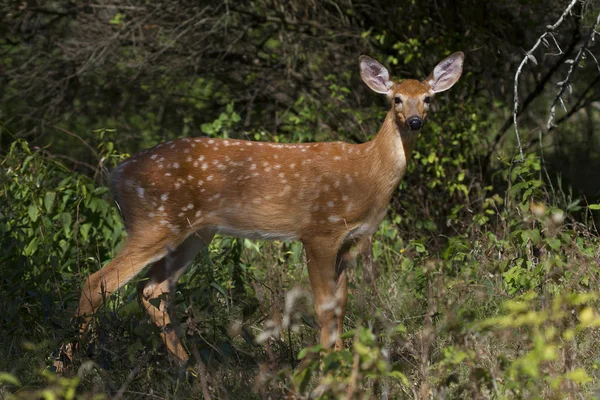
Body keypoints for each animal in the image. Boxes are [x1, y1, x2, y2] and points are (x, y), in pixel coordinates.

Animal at [71, 52, 464, 366]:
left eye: (428, 99)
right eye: (396, 99)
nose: (414, 121)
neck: (367, 173)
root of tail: (116, 174)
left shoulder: (349, 241)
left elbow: (341, 304)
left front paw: (337, 360)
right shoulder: (318, 231)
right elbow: (324, 305)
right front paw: (321, 365)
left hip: (194, 234)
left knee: (152, 291)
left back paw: (188, 367)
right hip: (154, 222)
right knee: (97, 283)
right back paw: (72, 363)